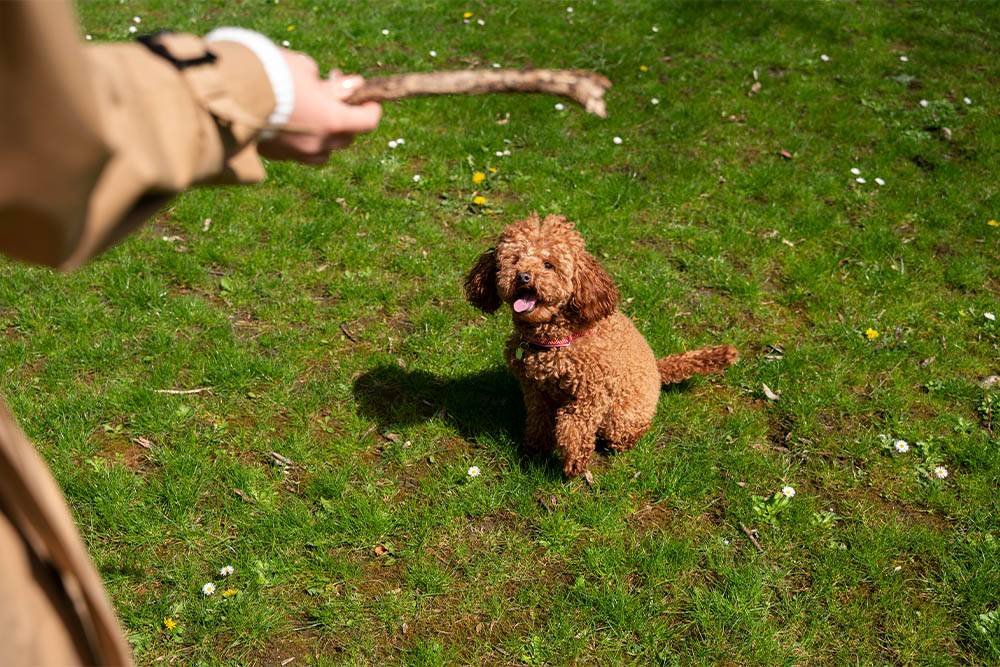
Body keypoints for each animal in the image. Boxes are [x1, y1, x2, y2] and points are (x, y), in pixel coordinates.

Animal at [464, 214, 740, 474]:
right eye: (514, 260)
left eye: (548, 265)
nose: (523, 276)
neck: (554, 341)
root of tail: (657, 369)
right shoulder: (533, 389)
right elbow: (539, 419)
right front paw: (535, 448)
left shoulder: (592, 394)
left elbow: (573, 425)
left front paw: (574, 462)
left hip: (622, 415)